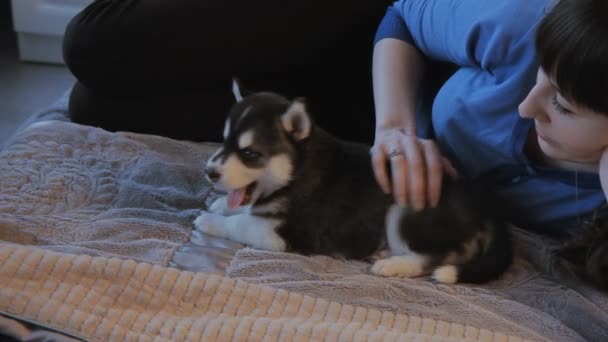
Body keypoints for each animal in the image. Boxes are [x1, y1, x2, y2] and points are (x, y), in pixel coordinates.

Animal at [195, 81, 512, 284]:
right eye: (224, 141)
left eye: (250, 154)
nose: (209, 172)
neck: (296, 173)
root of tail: (487, 208)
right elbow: (244, 208)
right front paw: (221, 204)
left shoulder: (287, 235)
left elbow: (242, 223)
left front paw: (210, 221)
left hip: (405, 208)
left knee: (438, 257)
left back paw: (392, 264)